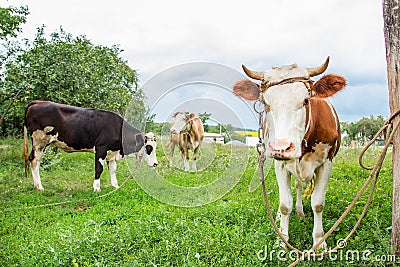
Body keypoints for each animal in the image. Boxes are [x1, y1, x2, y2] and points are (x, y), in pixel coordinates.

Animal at [23, 99, 158, 192]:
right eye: (149, 148)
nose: (156, 164)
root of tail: (37, 102)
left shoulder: (111, 152)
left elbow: (113, 169)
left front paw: (115, 186)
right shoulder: (101, 149)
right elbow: (99, 168)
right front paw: (97, 188)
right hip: (39, 141)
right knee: (34, 160)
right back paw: (39, 187)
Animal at [233, 57, 346, 251]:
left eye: (306, 100)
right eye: (265, 103)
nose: (281, 148)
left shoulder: (327, 164)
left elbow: (318, 203)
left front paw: (319, 241)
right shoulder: (280, 165)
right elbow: (285, 204)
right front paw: (282, 240)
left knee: (300, 186)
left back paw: (300, 211)